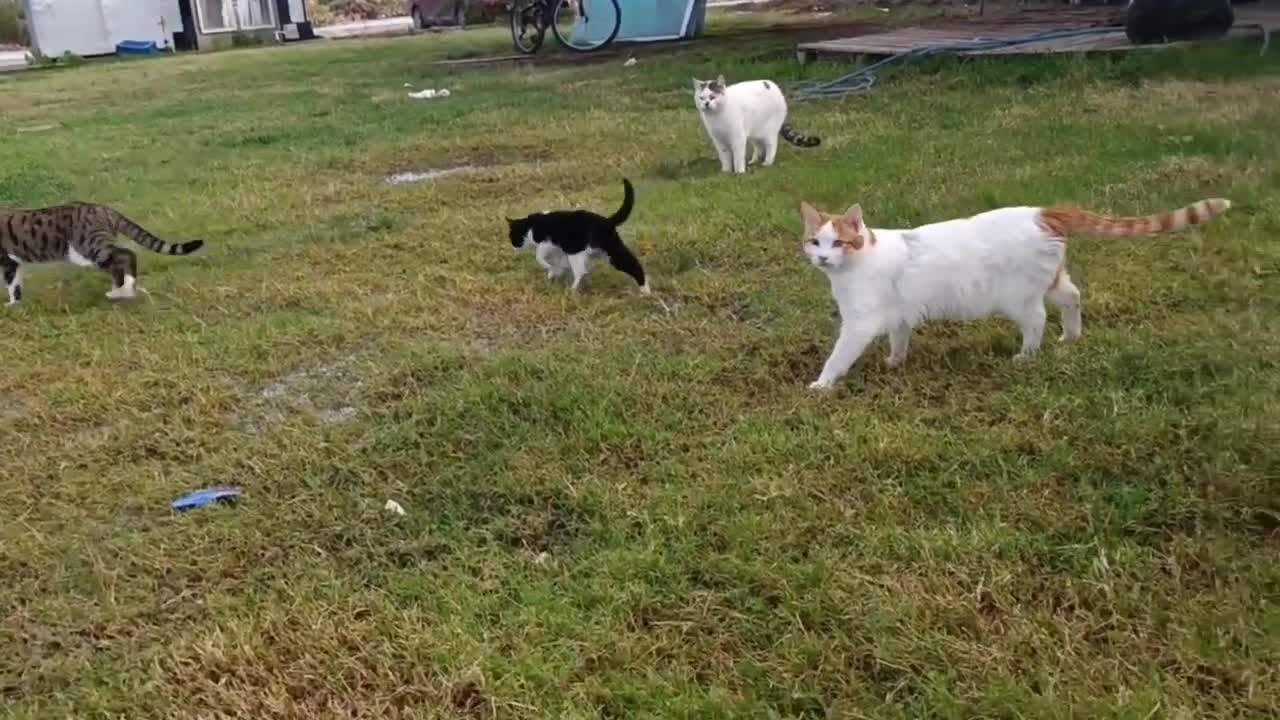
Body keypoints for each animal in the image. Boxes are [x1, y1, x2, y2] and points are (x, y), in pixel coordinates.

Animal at [0, 199, 202, 303]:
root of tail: (103, 209)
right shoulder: (13, 263)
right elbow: (16, 285)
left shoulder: (7, 262)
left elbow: (11, 284)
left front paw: (12, 305)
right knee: (117, 266)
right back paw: (118, 291)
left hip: (89, 247)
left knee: (127, 255)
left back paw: (124, 291)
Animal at [504, 178, 650, 293]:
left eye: (512, 237)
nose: (513, 247)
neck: (529, 226)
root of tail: (608, 220)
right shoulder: (561, 251)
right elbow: (559, 264)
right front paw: (554, 272)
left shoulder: (547, 243)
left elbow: (539, 257)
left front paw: (549, 268)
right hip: (607, 250)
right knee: (631, 263)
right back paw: (646, 291)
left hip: (581, 253)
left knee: (581, 272)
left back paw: (572, 290)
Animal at [691, 74, 819, 174]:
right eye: (701, 98)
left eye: (712, 97)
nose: (706, 104)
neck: (716, 117)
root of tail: (774, 86)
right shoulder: (718, 140)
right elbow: (725, 157)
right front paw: (726, 171)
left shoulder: (738, 138)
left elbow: (738, 156)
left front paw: (739, 172)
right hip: (755, 132)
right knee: (758, 147)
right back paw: (754, 161)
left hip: (769, 131)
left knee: (772, 146)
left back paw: (767, 162)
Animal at [798, 193, 1228, 389]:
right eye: (815, 242)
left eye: (838, 243)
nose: (823, 258)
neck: (858, 262)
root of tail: (1043, 212)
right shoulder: (900, 313)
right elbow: (899, 337)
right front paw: (895, 361)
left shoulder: (860, 322)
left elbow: (838, 356)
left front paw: (822, 384)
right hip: (1051, 281)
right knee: (1074, 297)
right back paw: (1071, 336)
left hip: (1017, 297)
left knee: (1036, 320)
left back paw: (1027, 355)